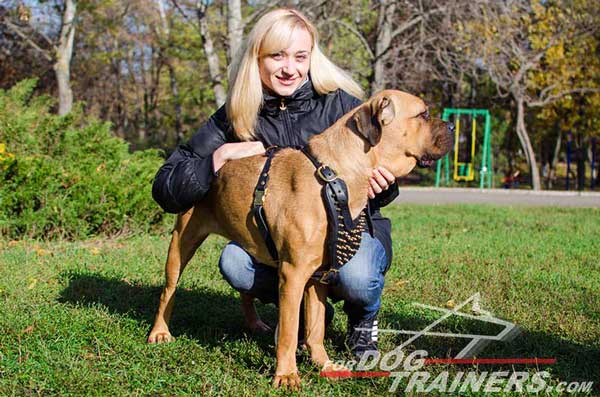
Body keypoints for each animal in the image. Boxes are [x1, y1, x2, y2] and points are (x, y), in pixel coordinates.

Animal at [148, 89, 452, 386]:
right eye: (423, 114)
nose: (451, 125)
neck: (335, 177)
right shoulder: (293, 274)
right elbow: (289, 331)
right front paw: (286, 374)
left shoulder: (319, 276)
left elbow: (315, 328)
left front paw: (323, 363)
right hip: (181, 243)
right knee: (168, 291)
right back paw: (160, 332)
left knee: (245, 289)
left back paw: (254, 323)